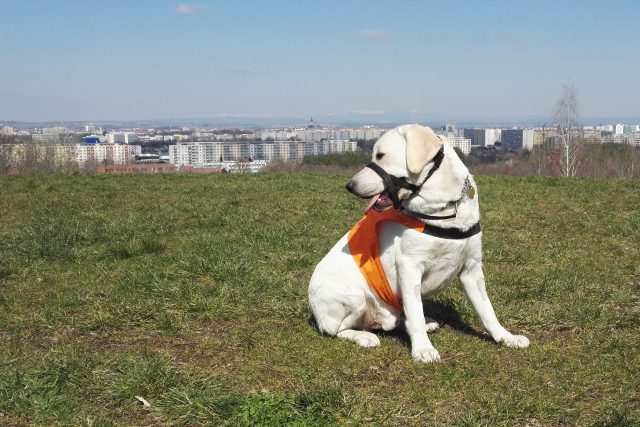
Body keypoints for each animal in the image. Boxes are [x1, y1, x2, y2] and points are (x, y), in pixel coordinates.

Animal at [308, 125, 528, 362]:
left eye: (380, 155)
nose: (349, 185)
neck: (444, 208)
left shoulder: (472, 268)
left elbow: (487, 311)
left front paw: (505, 337)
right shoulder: (409, 266)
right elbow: (414, 313)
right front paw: (423, 348)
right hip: (353, 295)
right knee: (336, 330)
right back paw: (363, 336)